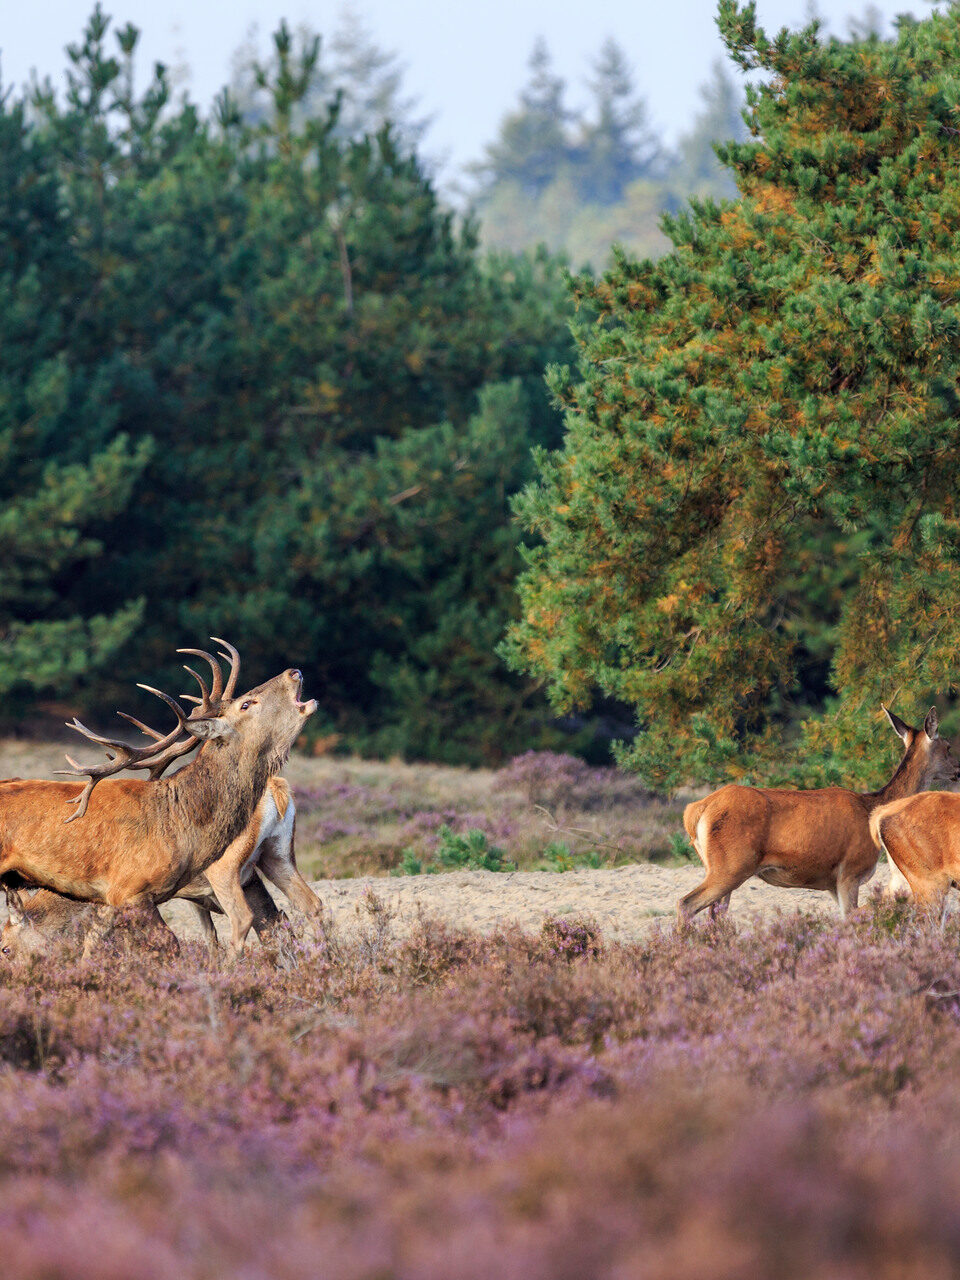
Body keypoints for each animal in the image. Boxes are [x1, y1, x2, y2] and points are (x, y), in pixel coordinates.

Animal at [680, 706, 957, 926]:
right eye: (948, 747)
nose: (959, 770)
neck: (872, 806)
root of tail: (696, 810)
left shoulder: (832, 882)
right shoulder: (850, 871)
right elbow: (852, 917)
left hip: (716, 866)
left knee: (715, 915)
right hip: (731, 865)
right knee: (686, 903)